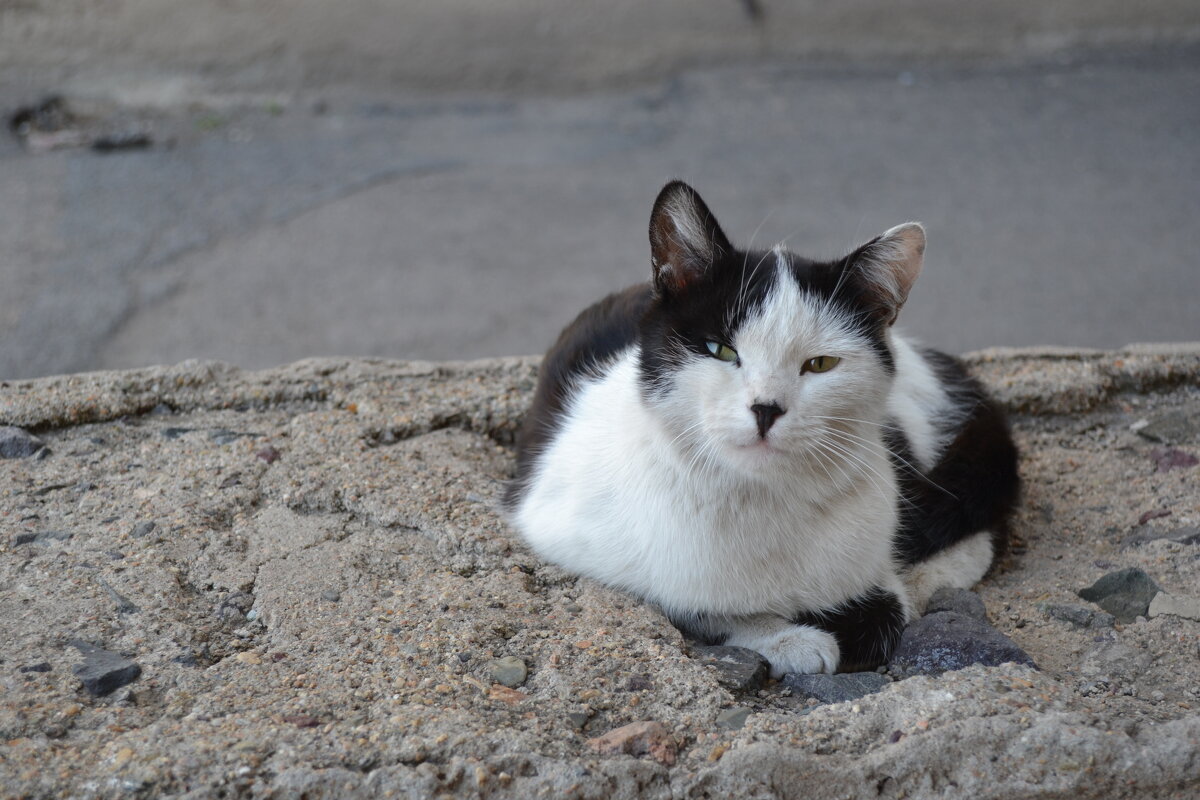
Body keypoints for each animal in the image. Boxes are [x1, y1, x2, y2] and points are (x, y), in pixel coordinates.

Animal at [501, 183, 1017, 676]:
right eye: (721, 349)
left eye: (820, 364)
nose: (767, 408)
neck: (758, 499)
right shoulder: (550, 522)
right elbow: (688, 601)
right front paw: (789, 637)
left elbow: (886, 614)